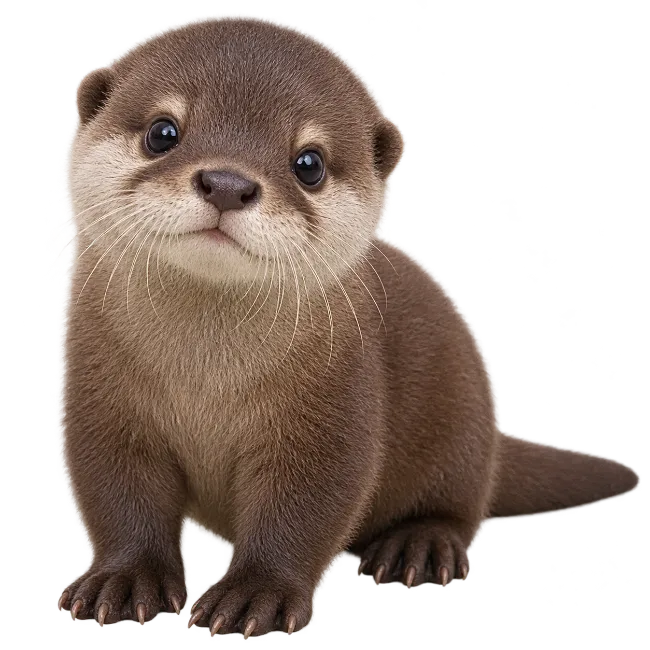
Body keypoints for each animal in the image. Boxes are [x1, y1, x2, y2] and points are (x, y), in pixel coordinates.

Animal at [56, 14, 640, 638]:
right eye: (163, 131)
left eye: (309, 163)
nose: (227, 183)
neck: (207, 377)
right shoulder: (101, 402)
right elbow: (118, 495)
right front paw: (122, 581)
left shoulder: (337, 405)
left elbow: (305, 509)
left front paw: (255, 596)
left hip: (460, 423)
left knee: (457, 506)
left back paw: (417, 547)